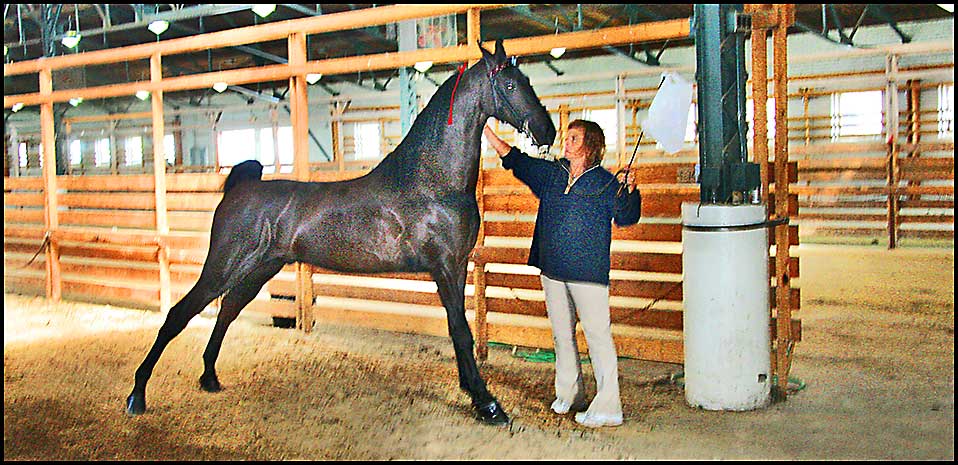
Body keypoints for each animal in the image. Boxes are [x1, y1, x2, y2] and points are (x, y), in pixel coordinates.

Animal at [124, 40, 560, 424]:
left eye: (527, 81)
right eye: (509, 85)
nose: (547, 131)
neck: (432, 182)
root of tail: (237, 190)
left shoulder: (458, 267)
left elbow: (460, 332)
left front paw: (475, 393)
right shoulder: (446, 268)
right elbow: (461, 333)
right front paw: (487, 404)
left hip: (259, 269)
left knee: (227, 310)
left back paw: (209, 378)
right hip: (224, 265)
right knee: (180, 313)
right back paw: (137, 396)